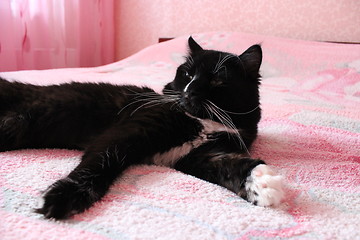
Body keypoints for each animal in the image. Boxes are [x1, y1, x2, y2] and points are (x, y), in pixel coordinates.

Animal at [0, 37, 284, 219]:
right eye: (188, 74)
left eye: (216, 80)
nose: (190, 90)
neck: (205, 121)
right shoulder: (126, 133)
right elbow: (97, 164)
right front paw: (63, 197)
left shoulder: (199, 155)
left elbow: (232, 166)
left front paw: (263, 183)